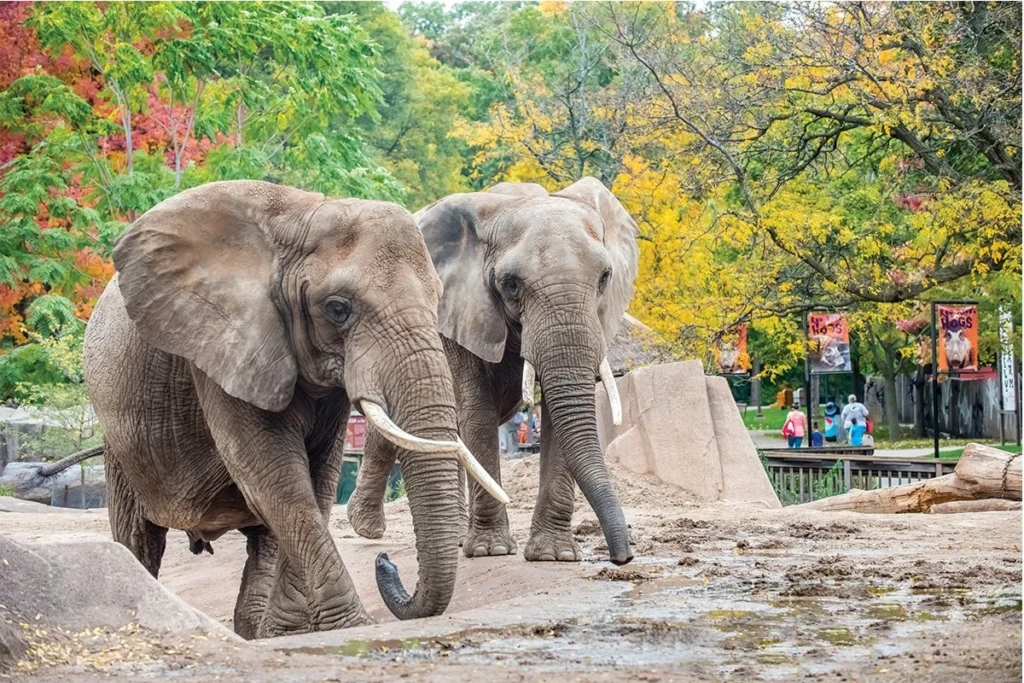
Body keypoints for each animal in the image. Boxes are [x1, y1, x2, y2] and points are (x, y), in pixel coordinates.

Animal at [83, 180, 507, 639]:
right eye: (338, 308)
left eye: (438, 299)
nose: (385, 561)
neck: (302, 214)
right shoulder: (224, 349)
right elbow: (275, 475)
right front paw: (349, 626)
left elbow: (316, 477)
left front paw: (294, 633)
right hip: (120, 442)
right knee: (139, 537)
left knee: (263, 538)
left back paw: (259, 630)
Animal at [347, 177, 638, 565]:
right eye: (511, 283)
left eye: (605, 277)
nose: (623, 557)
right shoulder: (457, 310)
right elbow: (477, 409)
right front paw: (491, 550)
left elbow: (556, 417)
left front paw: (553, 555)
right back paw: (366, 527)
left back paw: (452, 535)